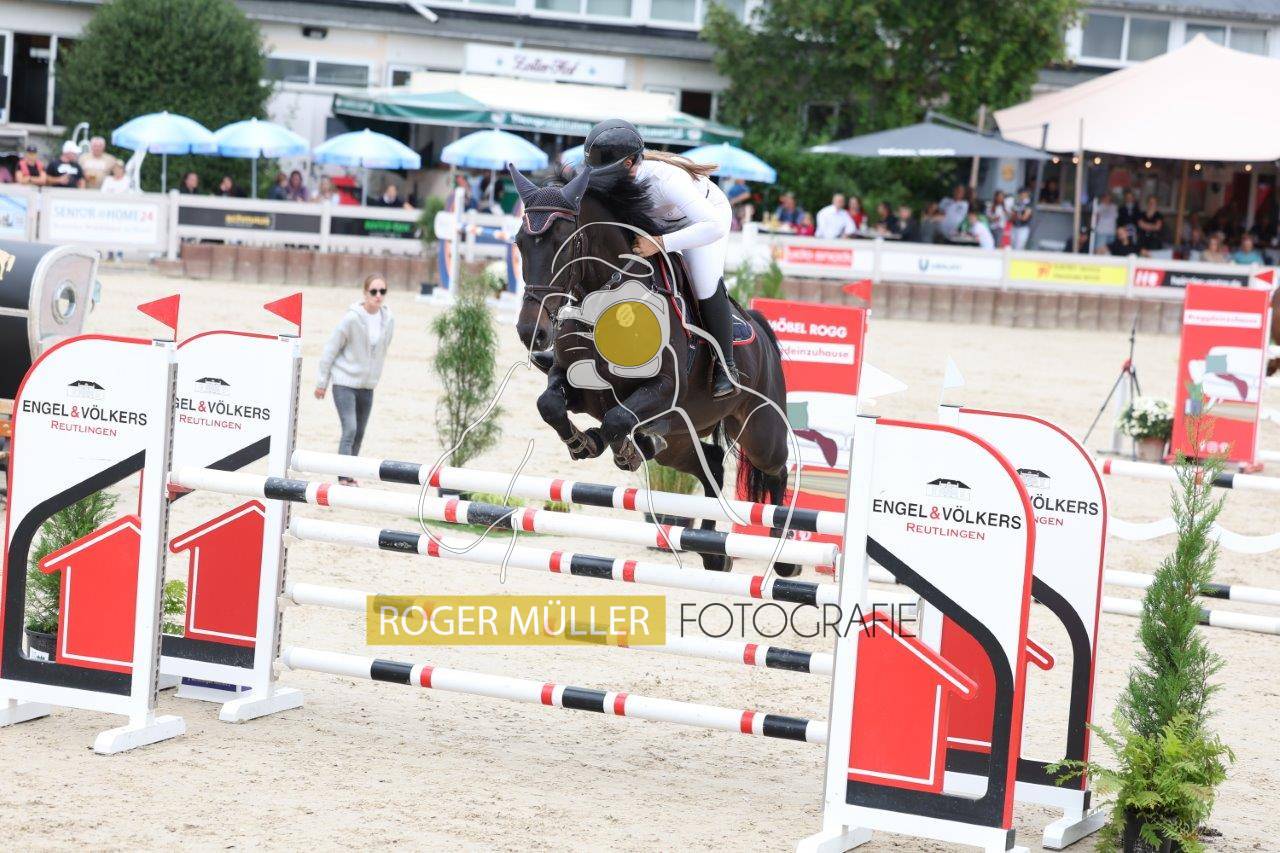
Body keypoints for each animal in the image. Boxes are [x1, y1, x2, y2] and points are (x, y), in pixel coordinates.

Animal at [508, 164, 797, 575]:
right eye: (519, 243)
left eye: (566, 242)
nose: (532, 332)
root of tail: (759, 330)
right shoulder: (576, 387)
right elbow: (550, 405)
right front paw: (584, 442)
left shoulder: (662, 389)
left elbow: (616, 419)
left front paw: (616, 445)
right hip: (680, 442)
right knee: (711, 466)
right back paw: (713, 552)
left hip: (759, 431)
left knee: (777, 471)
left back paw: (784, 558)